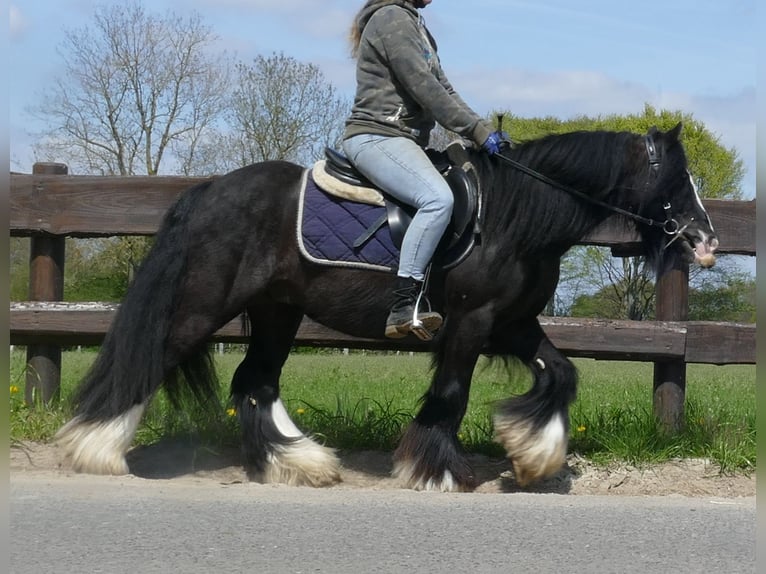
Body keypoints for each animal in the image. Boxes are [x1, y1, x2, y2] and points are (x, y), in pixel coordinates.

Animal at [55, 124, 720, 492]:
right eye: (675, 182)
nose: (707, 241)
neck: (513, 217)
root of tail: (211, 189)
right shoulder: (474, 321)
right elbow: (451, 394)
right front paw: (438, 469)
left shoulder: (513, 322)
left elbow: (561, 375)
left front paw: (534, 457)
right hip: (203, 305)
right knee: (149, 359)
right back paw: (95, 449)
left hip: (277, 312)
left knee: (255, 383)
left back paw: (298, 462)